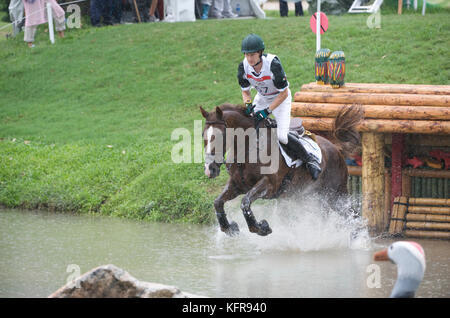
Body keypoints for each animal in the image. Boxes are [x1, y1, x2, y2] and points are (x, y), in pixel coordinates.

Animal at [200, 104, 362, 236]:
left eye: (220, 136)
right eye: (203, 135)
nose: (210, 169)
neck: (247, 148)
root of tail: (335, 147)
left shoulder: (269, 184)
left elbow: (245, 202)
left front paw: (261, 228)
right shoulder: (237, 184)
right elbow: (218, 202)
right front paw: (229, 228)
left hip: (336, 194)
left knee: (353, 216)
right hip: (310, 196)